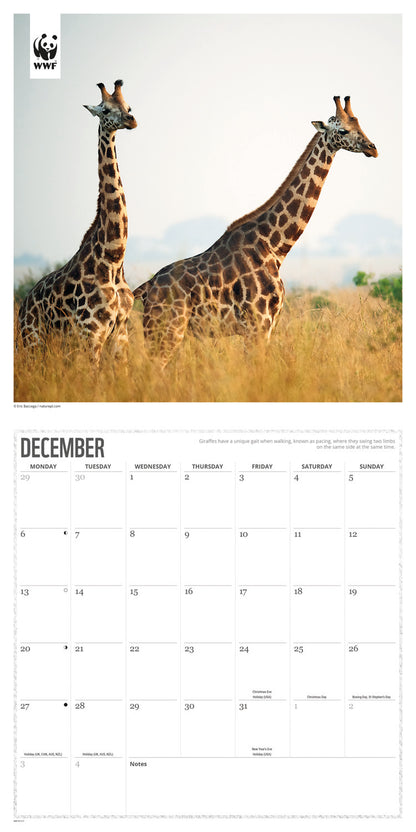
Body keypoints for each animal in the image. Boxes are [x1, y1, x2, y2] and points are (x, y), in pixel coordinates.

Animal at [18, 80, 137, 365]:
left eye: (128, 106)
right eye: (105, 110)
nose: (131, 120)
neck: (114, 258)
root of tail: (22, 307)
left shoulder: (121, 335)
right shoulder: (91, 333)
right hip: (33, 341)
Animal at [133, 96, 377, 366]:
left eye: (360, 125)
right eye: (343, 130)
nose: (372, 148)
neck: (276, 246)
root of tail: (146, 288)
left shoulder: (269, 325)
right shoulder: (258, 324)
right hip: (166, 329)